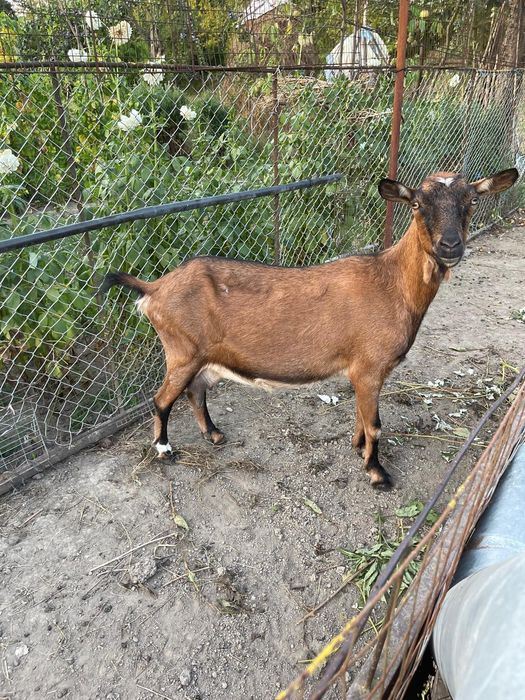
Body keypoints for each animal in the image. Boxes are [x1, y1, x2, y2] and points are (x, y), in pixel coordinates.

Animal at [101, 168, 518, 488]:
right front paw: (377, 473)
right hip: (182, 351)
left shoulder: (362, 371)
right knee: (161, 400)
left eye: (472, 201)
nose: (450, 246)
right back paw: (165, 450)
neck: (391, 283)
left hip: (204, 356)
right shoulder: (370, 366)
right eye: (417, 204)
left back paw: (214, 434)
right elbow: (376, 424)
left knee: (196, 391)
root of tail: (154, 289)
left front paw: (358, 447)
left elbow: (362, 417)